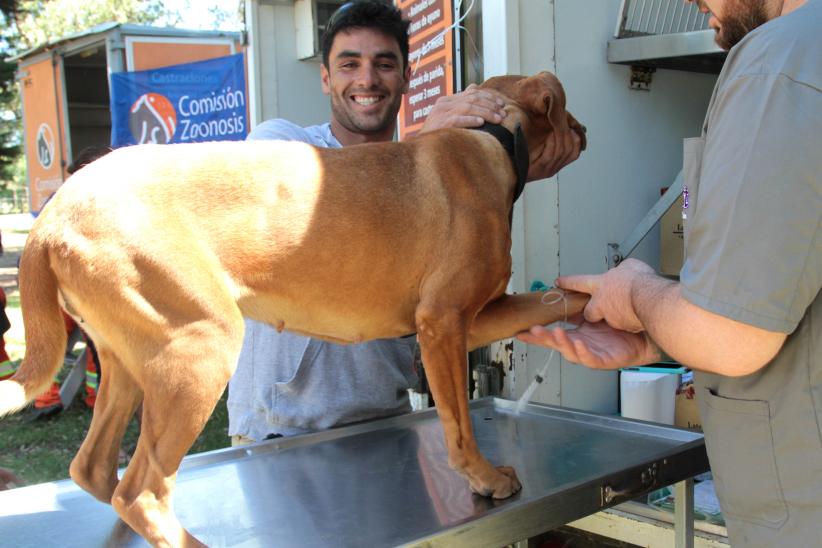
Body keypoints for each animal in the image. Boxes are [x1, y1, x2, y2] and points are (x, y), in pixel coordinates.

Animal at [3, 71, 588, 544]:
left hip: (127, 361)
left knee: (97, 471)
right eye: (565, 109)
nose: (584, 130)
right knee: (140, 490)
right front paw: (485, 479)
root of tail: (53, 215)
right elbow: (460, 426)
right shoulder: (443, 324)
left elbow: (562, 300)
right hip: (201, 348)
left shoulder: (478, 316)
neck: (493, 138)